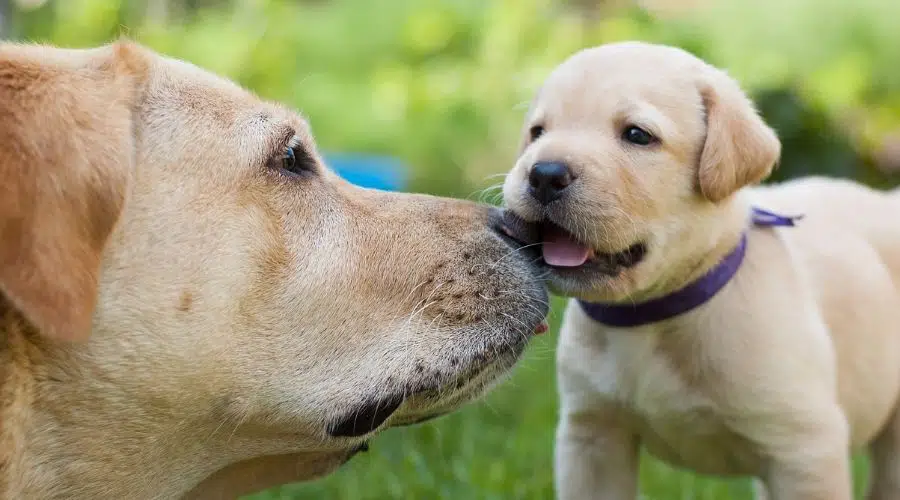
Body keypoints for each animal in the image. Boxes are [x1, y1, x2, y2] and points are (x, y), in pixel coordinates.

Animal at [502, 40, 900, 500]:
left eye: (637, 135)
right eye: (537, 132)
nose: (544, 174)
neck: (651, 316)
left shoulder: (804, 451)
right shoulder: (592, 436)